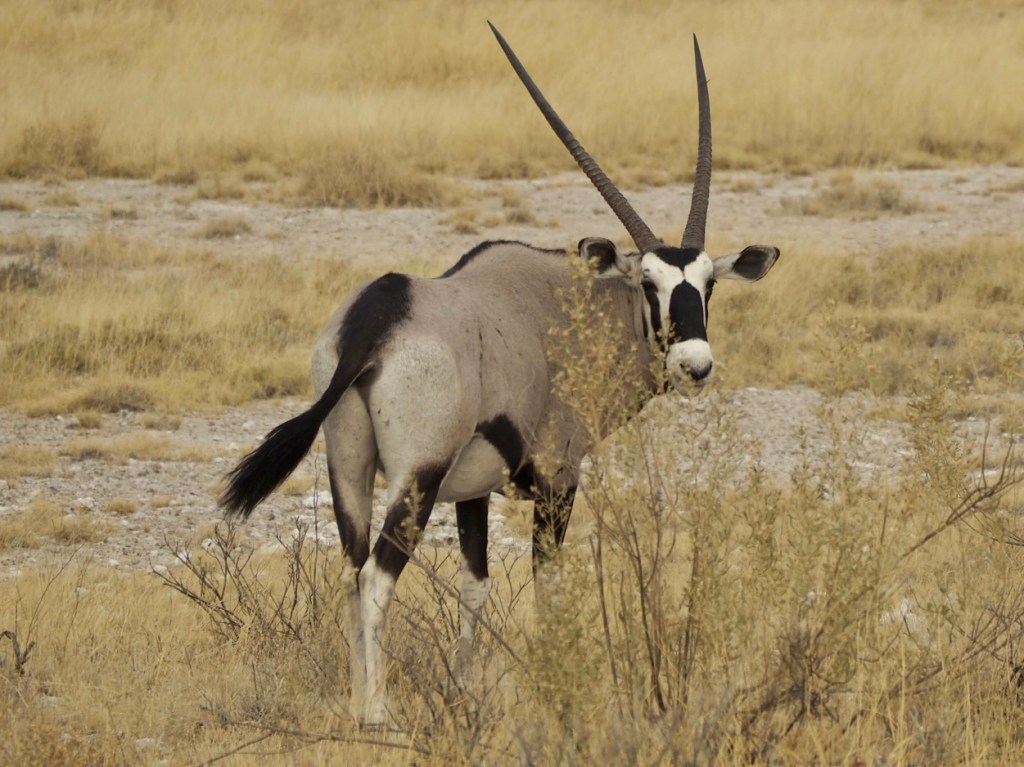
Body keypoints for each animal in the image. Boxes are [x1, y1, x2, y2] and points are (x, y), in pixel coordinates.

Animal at [220, 23, 780, 724]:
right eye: (648, 284)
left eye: (708, 284)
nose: (695, 365)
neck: (568, 310)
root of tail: (377, 317)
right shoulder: (557, 480)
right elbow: (550, 588)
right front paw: (557, 689)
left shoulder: (474, 492)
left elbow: (475, 587)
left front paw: (466, 691)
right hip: (417, 475)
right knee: (376, 577)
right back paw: (378, 712)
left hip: (347, 463)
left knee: (349, 571)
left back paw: (352, 704)